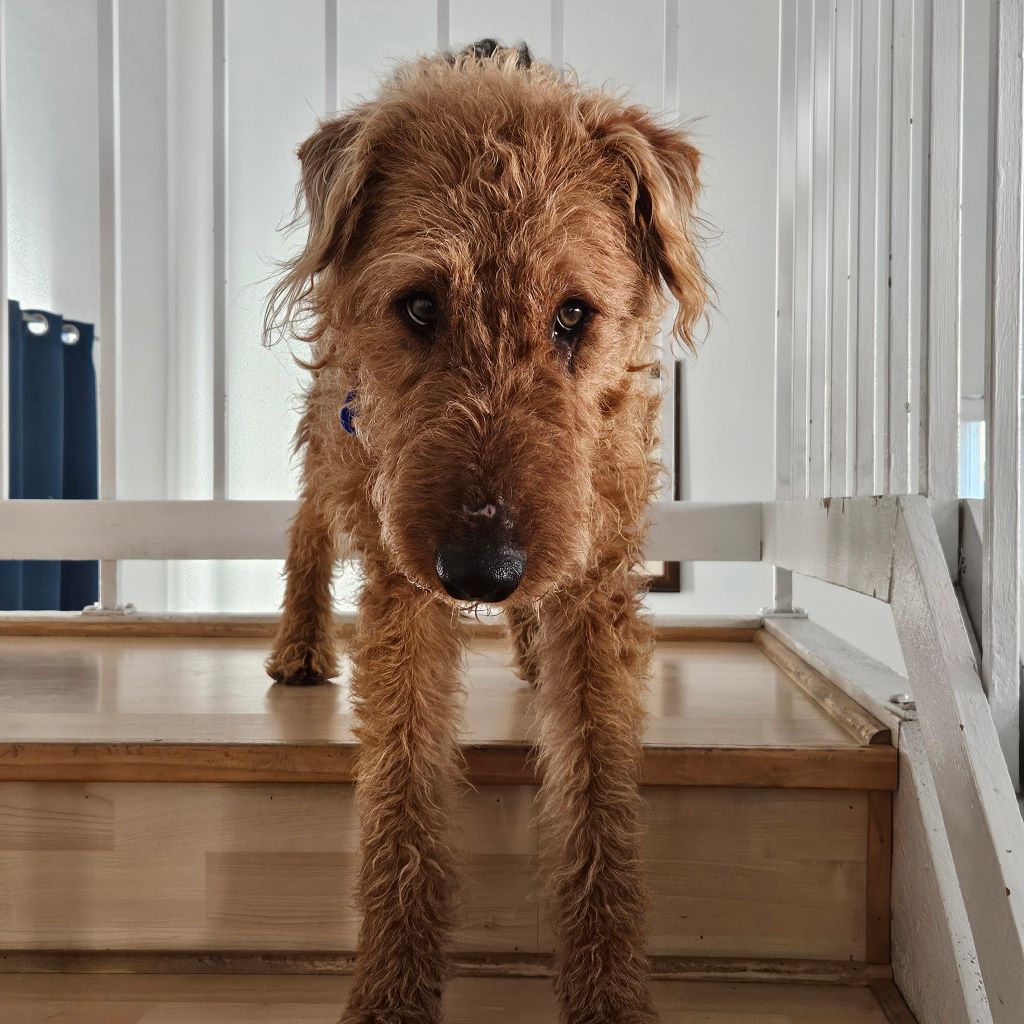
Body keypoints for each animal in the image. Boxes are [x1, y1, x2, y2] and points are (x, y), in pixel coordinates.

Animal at [265, 39, 708, 1024]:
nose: (480, 571)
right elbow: (402, 796)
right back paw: (301, 644)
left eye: (573, 313)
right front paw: (390, 992)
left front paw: (608, 993)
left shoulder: (596, 580)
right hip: (337, 441)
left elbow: (598, 796)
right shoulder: (402, 586)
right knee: (309, 522)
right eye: (420, 306)